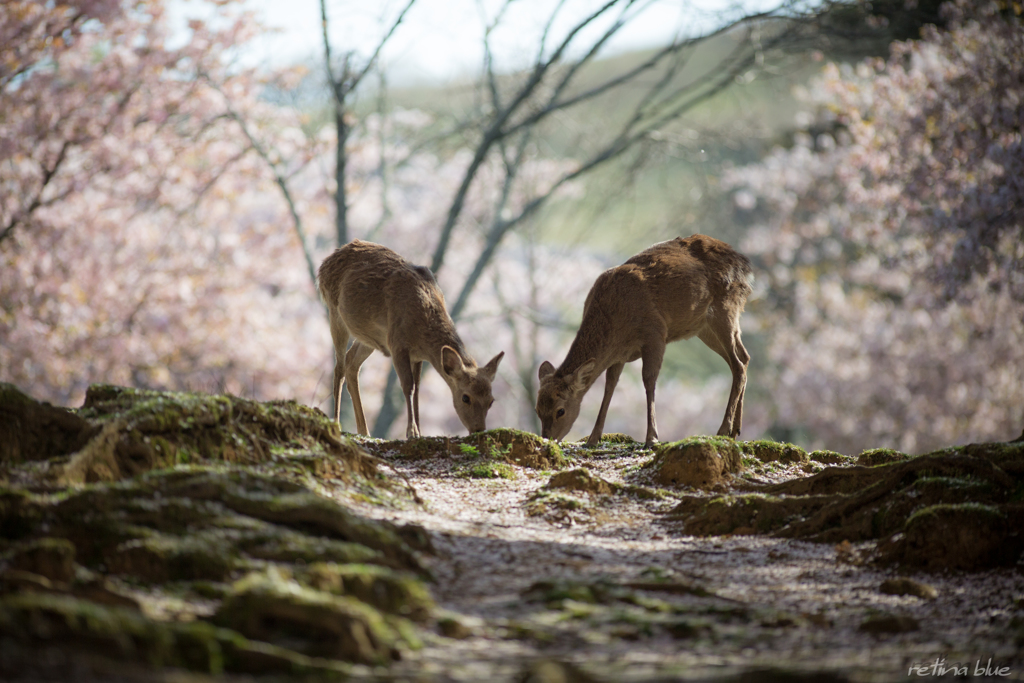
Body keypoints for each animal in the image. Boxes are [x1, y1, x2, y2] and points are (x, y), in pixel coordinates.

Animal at [313, 240, 501, 440]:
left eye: (491, 401)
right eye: (466, 397)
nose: (479, 430)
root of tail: (325, 262)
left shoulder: (417, 356)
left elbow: (417, 390)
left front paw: (420, 431)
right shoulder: (397, 344)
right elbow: (408, 386)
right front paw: (412, 432)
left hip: (368, 338)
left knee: (351, 363)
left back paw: (364, 430)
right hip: (334, 313)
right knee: (339, 367)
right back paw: (336, 422)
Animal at [536, 235, 753, 448]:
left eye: (560, 410)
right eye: (538, 409)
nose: (548, 439)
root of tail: (745, 266)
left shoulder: (655, 334)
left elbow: (649, 380)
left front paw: (652, 438)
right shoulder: (619, 355)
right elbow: (610, 386)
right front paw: (593, 439)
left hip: (724, 309)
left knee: (738, 365)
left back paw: (723, 430)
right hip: (704, 328)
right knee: (744, 357)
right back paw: (736, 429)